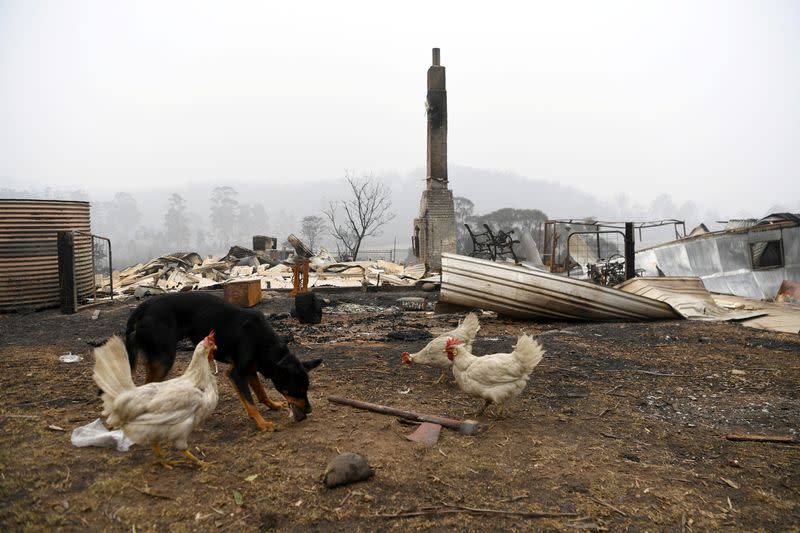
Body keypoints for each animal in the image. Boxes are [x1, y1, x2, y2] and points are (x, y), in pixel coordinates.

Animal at [125, 290, 318, 432]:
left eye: (306, 389)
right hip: (164, 359)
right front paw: (263, 424)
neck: (264, 343)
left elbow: (261, 393)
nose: (309, 410)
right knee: (146, 385)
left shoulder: (250, 370)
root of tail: (146, 305)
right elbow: (250, 403)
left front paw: (273, 405)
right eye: (296, 390)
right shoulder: (236, 374)